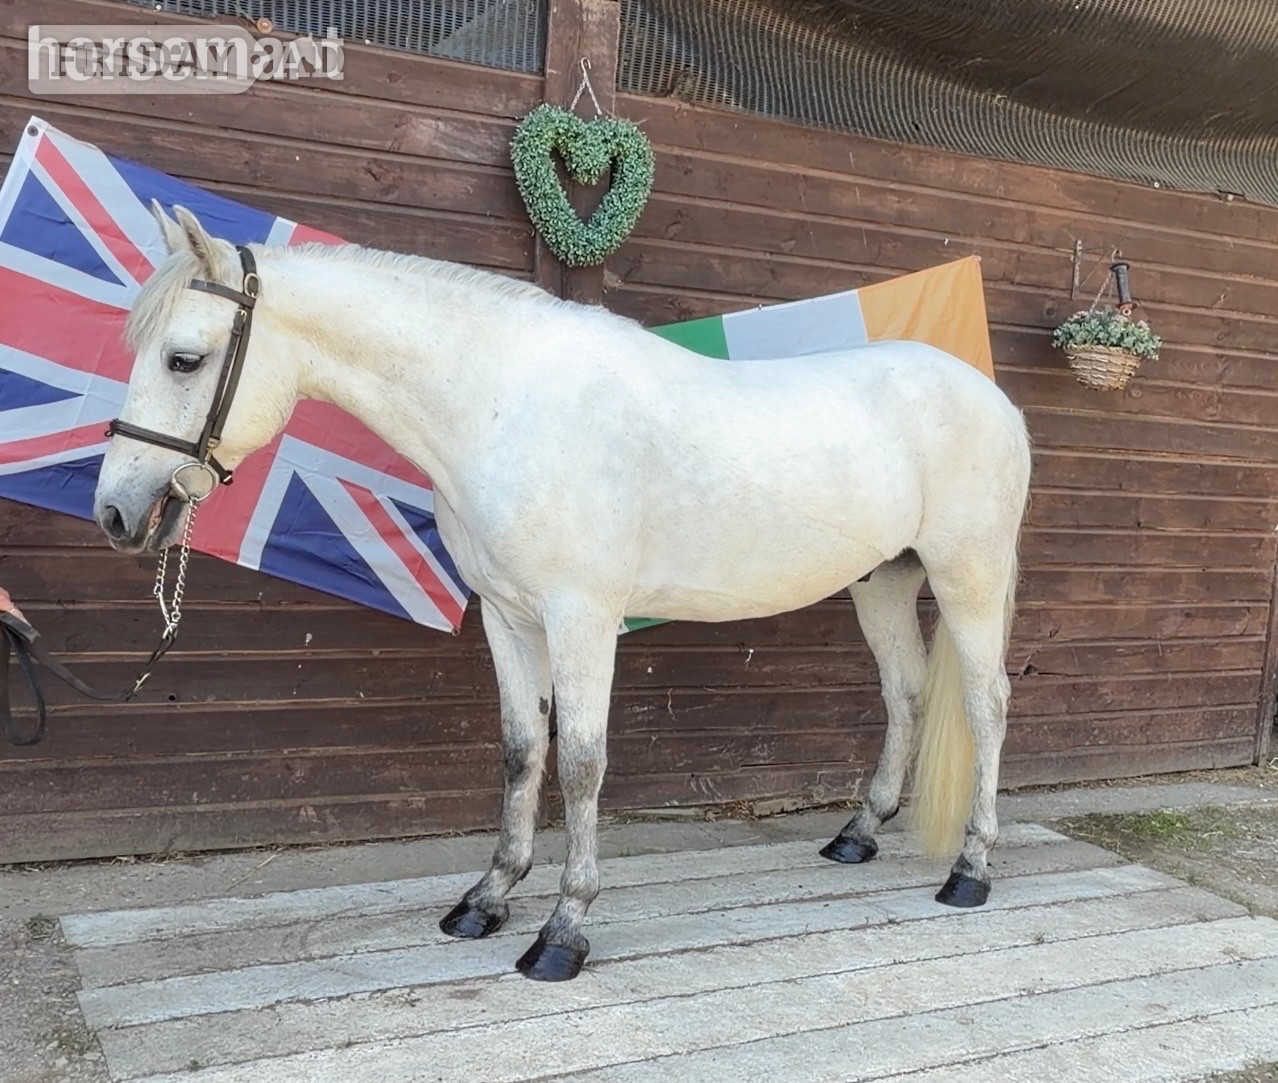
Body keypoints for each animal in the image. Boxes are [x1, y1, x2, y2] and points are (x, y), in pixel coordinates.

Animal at [93, 204, 1032, 982]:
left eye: (185, 358)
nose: (116, 512)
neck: (505, 404)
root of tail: (994, 398)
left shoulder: (581, 617)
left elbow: (581, 761)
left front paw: (562, 932)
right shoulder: (509, 618)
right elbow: (521, 751)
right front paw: (485, 900)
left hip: (969, 575)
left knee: (985, 704)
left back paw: (970, 870)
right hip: (884, 582)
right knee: (906, 695)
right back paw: (858, 836)